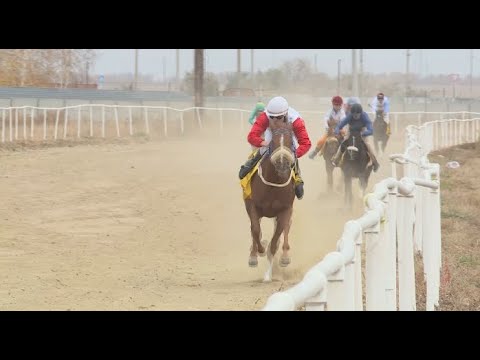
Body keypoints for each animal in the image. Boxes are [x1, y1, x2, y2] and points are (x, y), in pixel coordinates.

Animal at [244, 116, 296, 282]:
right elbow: (255, 230)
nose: (282, 163)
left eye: (291, 141)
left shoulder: (285, 210)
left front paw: (268, 275)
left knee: (286, 228)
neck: (274, 183)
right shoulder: (252, 206)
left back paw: (284, 257)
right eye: (273, 141)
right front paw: (257, 253)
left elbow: (275, 240)